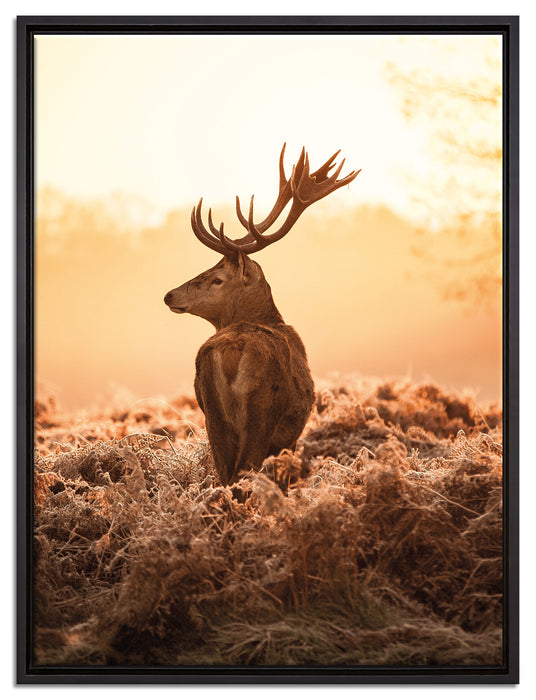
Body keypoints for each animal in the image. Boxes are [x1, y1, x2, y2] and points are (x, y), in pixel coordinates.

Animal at [164, 144, 360, 486]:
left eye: (217, 278)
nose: (170, 295)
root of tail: (231, 351)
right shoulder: (289, 437)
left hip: (212, 415)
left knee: (225, 473)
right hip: (262, 412)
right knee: (244, 472)